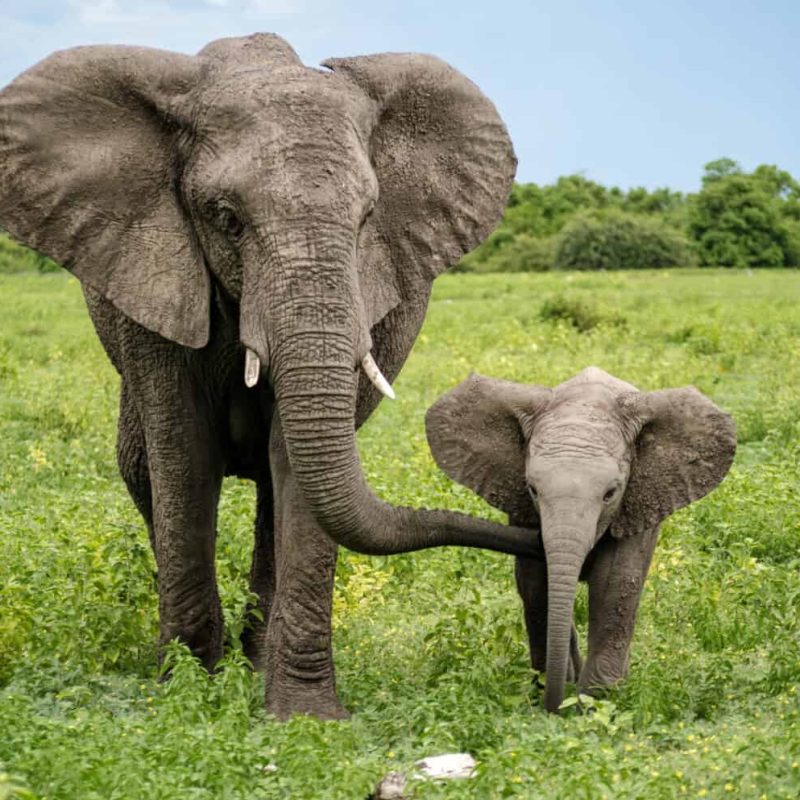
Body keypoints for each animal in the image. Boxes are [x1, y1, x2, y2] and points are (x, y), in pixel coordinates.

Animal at [0, 33, 543, 720]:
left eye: (368, 218)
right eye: (225, 218)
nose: (539, 530)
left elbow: (295, 465)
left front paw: (305, 717)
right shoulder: (153, 280)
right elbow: (183, 455)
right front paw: (187, 697)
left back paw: (256, 661)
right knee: (141, 468)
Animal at [425, 367, 736, 712]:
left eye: (610, 493)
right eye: (533, 489)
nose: (554, 707)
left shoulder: (639, 502)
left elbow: (615, 584)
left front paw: (595, 701)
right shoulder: (521, 507)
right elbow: (536, 584)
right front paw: (558, 688)